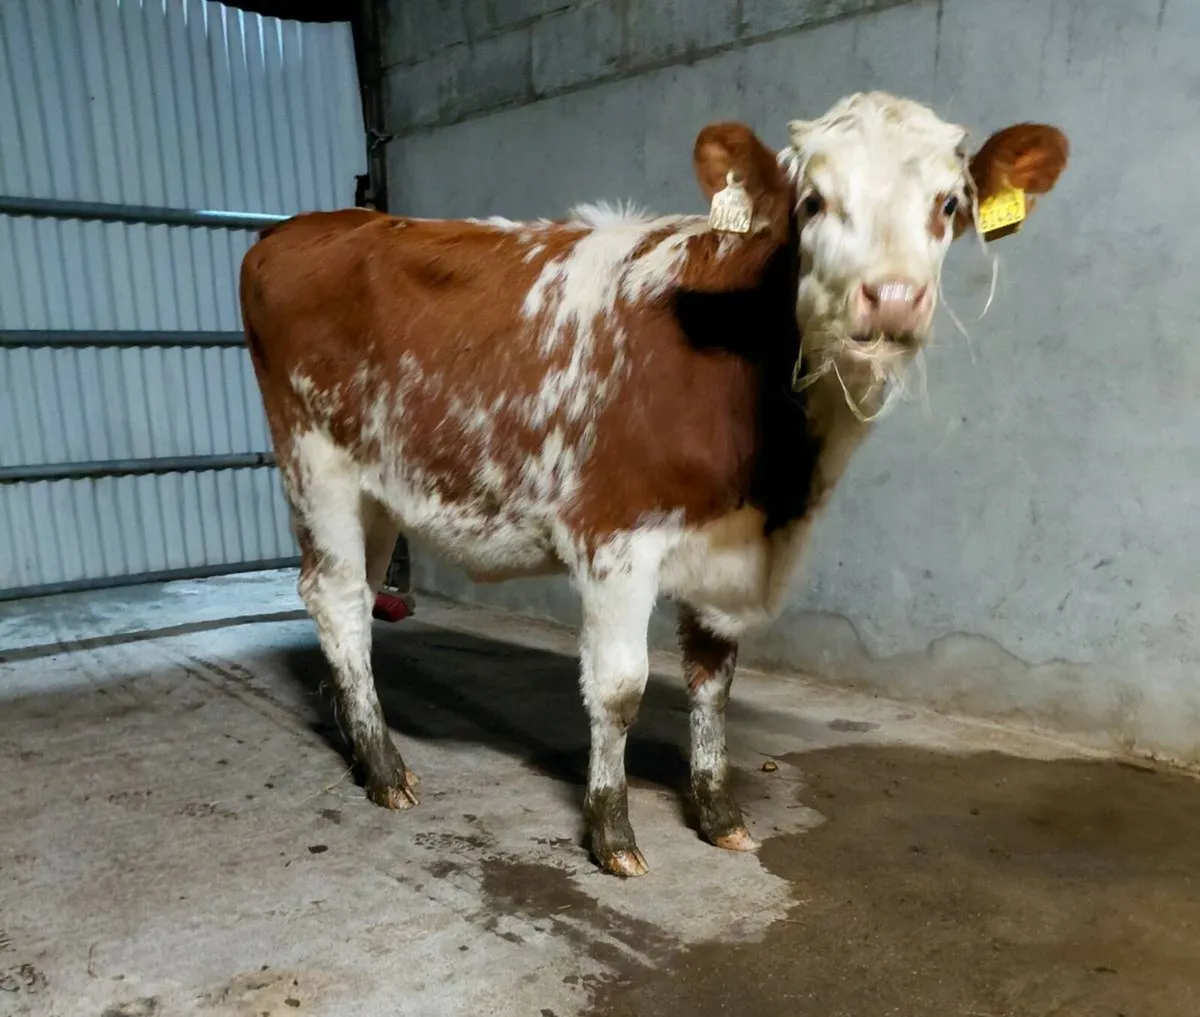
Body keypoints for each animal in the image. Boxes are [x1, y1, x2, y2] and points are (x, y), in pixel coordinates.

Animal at [241, 91, 1068, 877]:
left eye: (948, 204)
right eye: (812, 201)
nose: (892, 298)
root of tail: (306, 226)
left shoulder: (729, 547)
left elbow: (712, 678)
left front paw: (717, 809)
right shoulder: (614, 534)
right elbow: (620, 686)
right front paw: (612, 832)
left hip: (379, 484)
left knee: (358, 595)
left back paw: (359, 742)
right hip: (316, 460)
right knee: (338, 596)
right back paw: (385, 768)